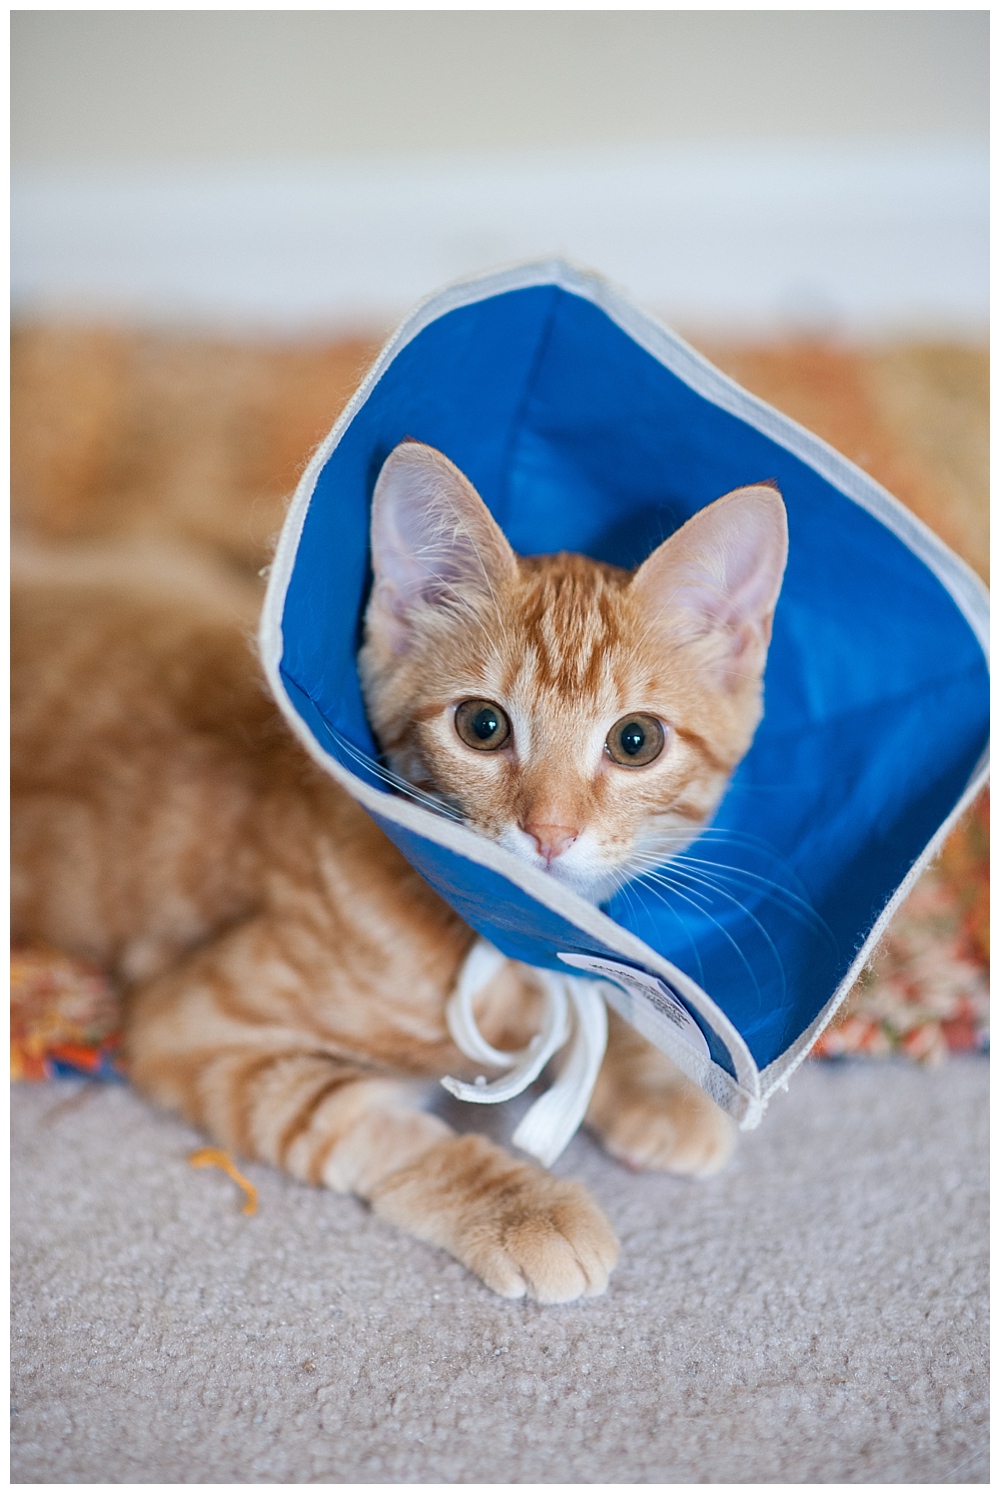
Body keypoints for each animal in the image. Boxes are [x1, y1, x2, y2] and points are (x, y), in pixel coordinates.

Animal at [11, 439, 783, 1296]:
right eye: (482, 726)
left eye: (635, 741)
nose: (548, 832)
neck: (492, 940)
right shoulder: (192, 1027)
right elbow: (365, 1123)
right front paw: (521, 1205)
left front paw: (649, 1082)